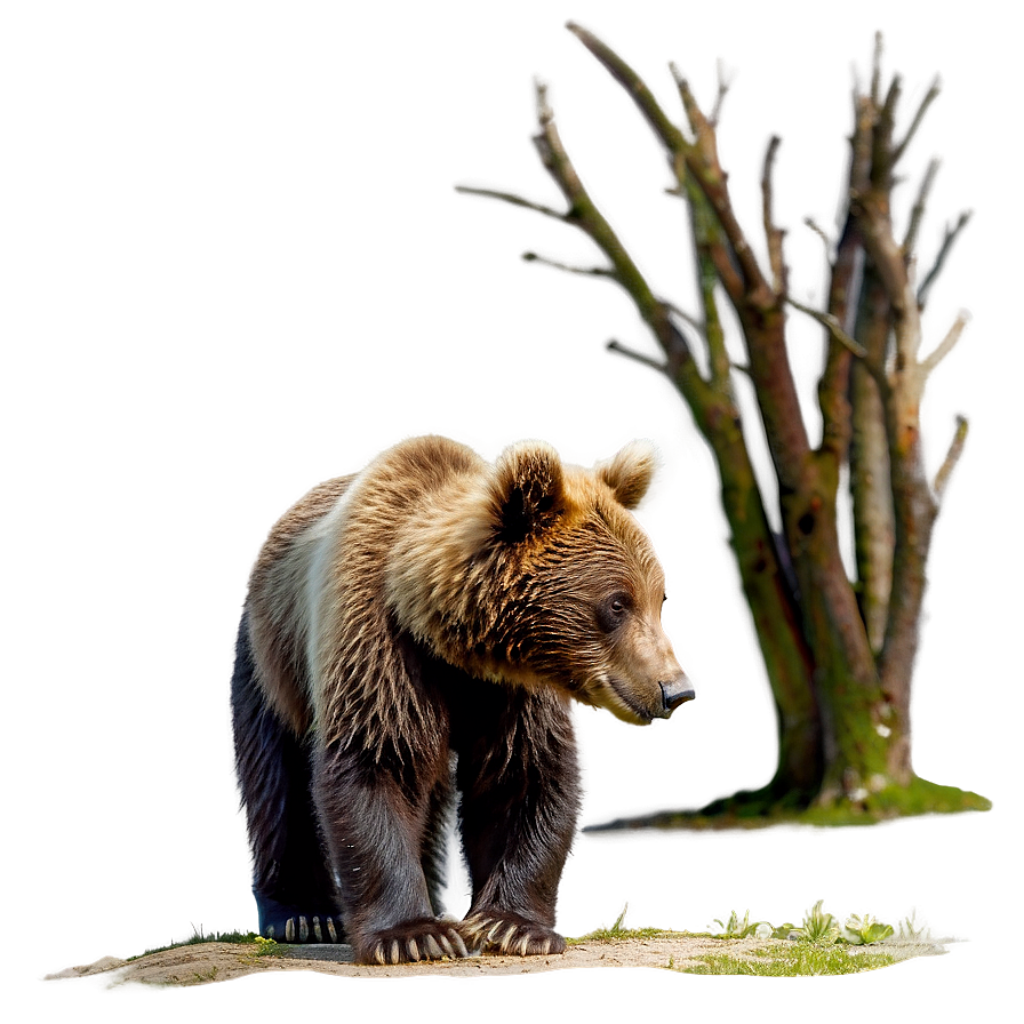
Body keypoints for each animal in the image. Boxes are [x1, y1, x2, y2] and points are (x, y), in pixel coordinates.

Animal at [227, 428, 699, 964]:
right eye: (617, 603)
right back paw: (303, 914)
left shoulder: (514, 690)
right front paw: (412, 935)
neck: (455, 645)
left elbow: (528, 776)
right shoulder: (379, 645)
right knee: (273, 775)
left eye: (658, 596)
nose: (677, 688)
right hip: (269, 655)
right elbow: (378, 761)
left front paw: (511, 926)